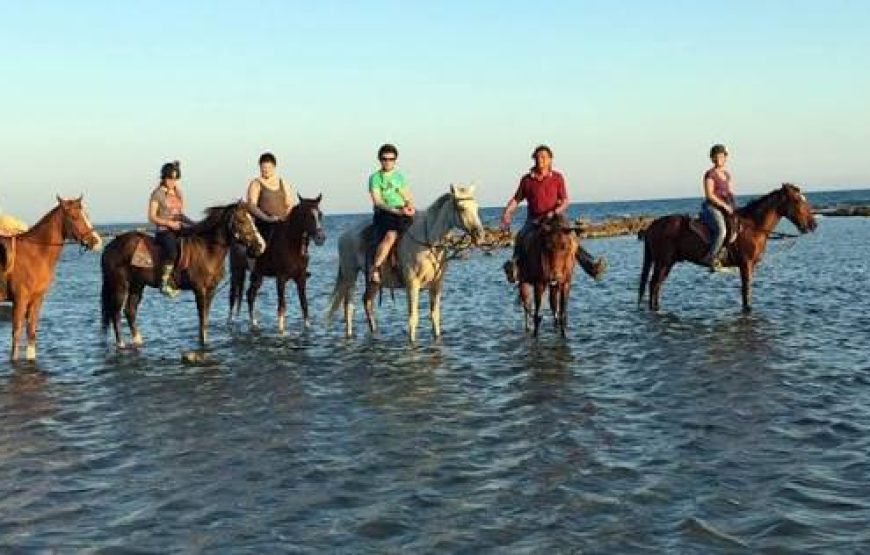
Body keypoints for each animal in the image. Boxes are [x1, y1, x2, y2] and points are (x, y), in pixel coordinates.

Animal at [1, 196, 103, 361]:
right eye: (74, 217)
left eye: (87, 215)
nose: (97, 242)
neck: (34, 253)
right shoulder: (20, 300)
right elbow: (16, 334)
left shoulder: (37, 300)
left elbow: (31, 332)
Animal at [100, 201, 266, 349]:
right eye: (242, 220)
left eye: (252, 220)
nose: (260, 246)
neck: (207, 250)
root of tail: (109, 246)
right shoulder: (199, 290)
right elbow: (202, 318)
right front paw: (203, 343)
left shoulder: (211, 290)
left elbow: (206, 318)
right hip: (119, 285)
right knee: (116, 313)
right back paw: (121, 344)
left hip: (137, 285)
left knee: (130, 311)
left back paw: (138, 341)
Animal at [228, 194, 326, 333]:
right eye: (306, 215)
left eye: (320, 214)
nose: (320, 238)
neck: (291, 245)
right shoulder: (281, 278)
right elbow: (282, 306)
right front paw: (281, 331)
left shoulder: (301, 278)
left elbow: (304, 304)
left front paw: (307, 327)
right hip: (237, 271)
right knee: (233, 296)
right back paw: (230, 322)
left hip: (257, 275)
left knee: (250, 295)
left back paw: (254, 324)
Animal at [327, 184, 485, 342]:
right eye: (461, 208)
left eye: (477, 207)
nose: (480, 235)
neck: (428, 242)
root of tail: (343, 236)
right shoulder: (412, 284)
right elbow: (413, 318)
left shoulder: (437, 284)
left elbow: (435, 317)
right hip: (350, 275)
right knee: (348, 308)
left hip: (373, 281)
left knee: (367, 302)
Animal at [638, 183, 817, 312]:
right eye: (797, 201)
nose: (813, 225)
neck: (753, 227)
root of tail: (652, 225)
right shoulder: (746, 265)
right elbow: (746, 292)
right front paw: (747, 310)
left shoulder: (750, 266)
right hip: (663, 262)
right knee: (654, 284)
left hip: (666, 263)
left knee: (656, 286)